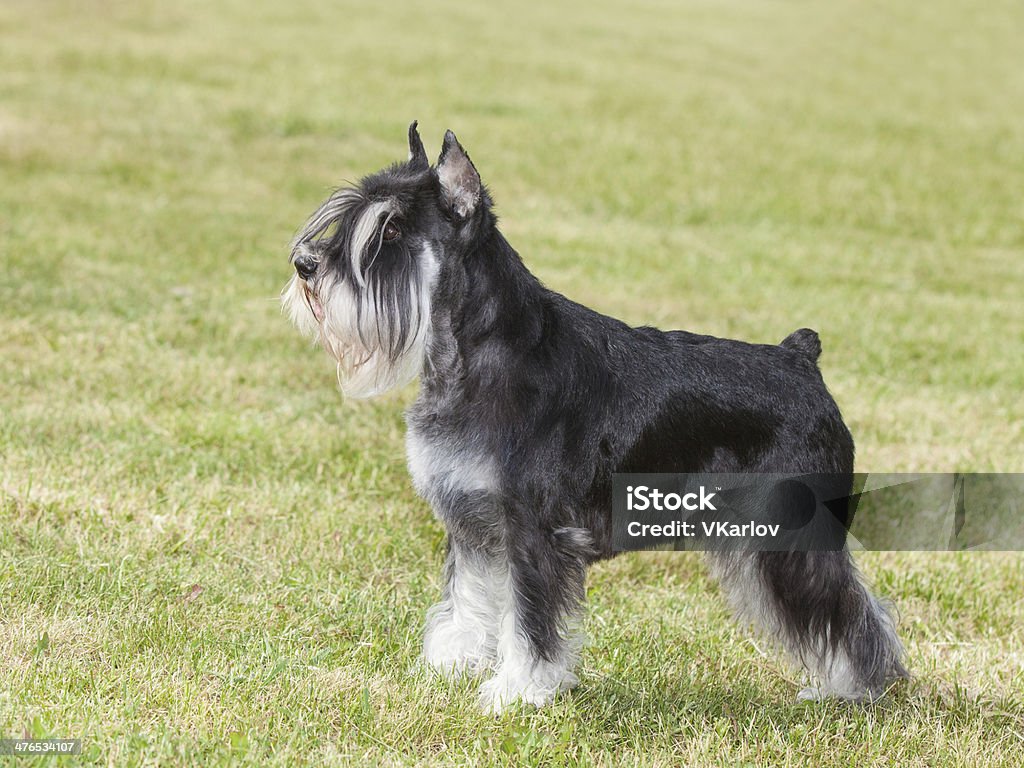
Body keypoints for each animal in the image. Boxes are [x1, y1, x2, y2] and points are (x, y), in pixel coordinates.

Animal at [280, 121, 905, 716]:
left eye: (391, 232)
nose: (305, 264)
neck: (477, 354)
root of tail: (801, 358)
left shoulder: (534, 530)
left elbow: (527, 619)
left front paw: (516, 691)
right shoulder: (473, 520)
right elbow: (470, 597)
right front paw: (452, 663)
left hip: (792, 543)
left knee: (852, 613)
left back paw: (855, 689)